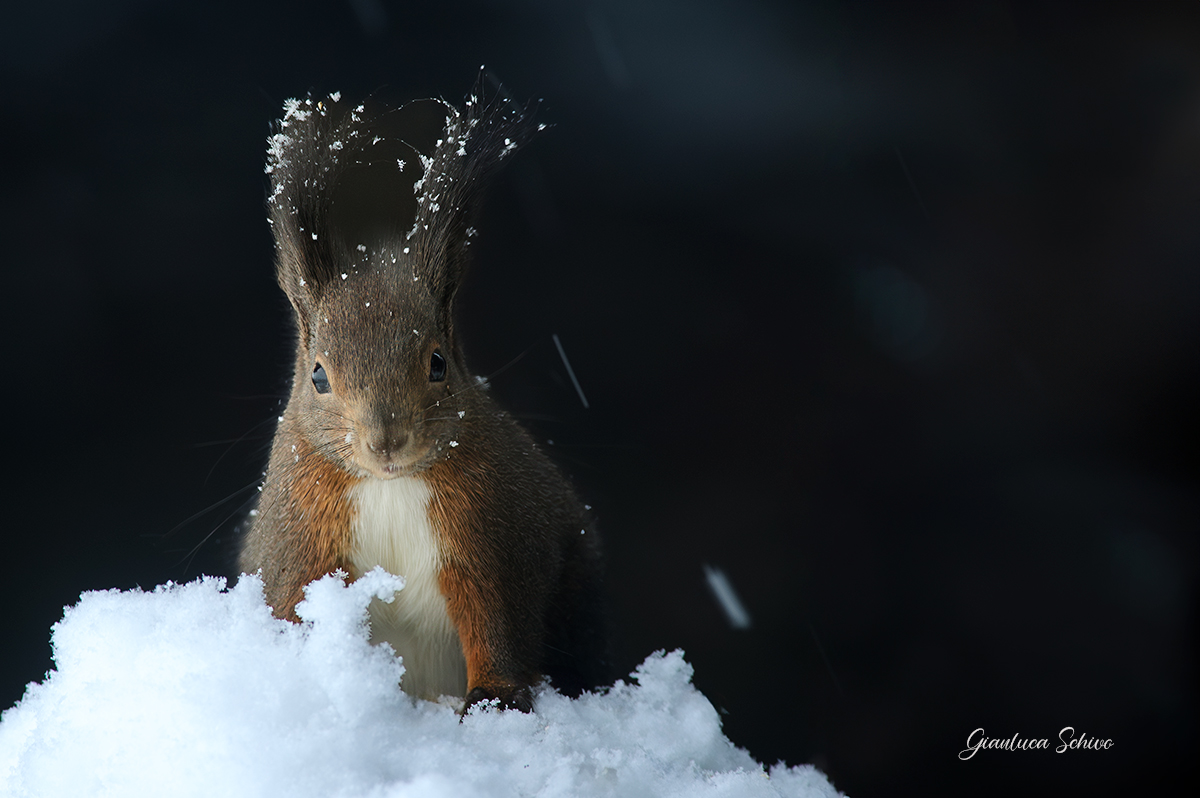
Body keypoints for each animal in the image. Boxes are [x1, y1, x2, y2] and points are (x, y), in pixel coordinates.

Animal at [237, 85, 607, 713]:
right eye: (318, 376)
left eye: (438, 363)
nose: (386, 441)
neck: (389, 486)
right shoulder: (298, 542)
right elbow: (292, 607)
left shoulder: (493, 540)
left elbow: (498, 625)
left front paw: (494, 699)